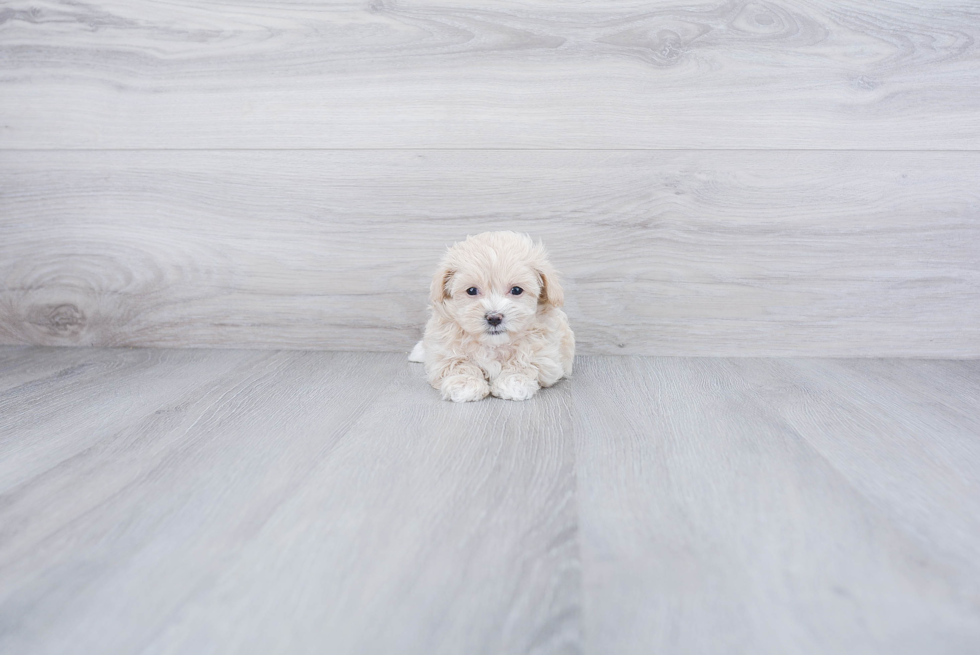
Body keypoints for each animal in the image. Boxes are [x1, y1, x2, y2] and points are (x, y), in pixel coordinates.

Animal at [408, 231, 576, 404]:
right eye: (472, 290)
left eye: (516, 290)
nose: (494, 318)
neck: (493, 345)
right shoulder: (443, 349)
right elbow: (458, 363)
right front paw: (464, 384)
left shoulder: (545, 355)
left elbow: (525, 362)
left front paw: (514, 382)